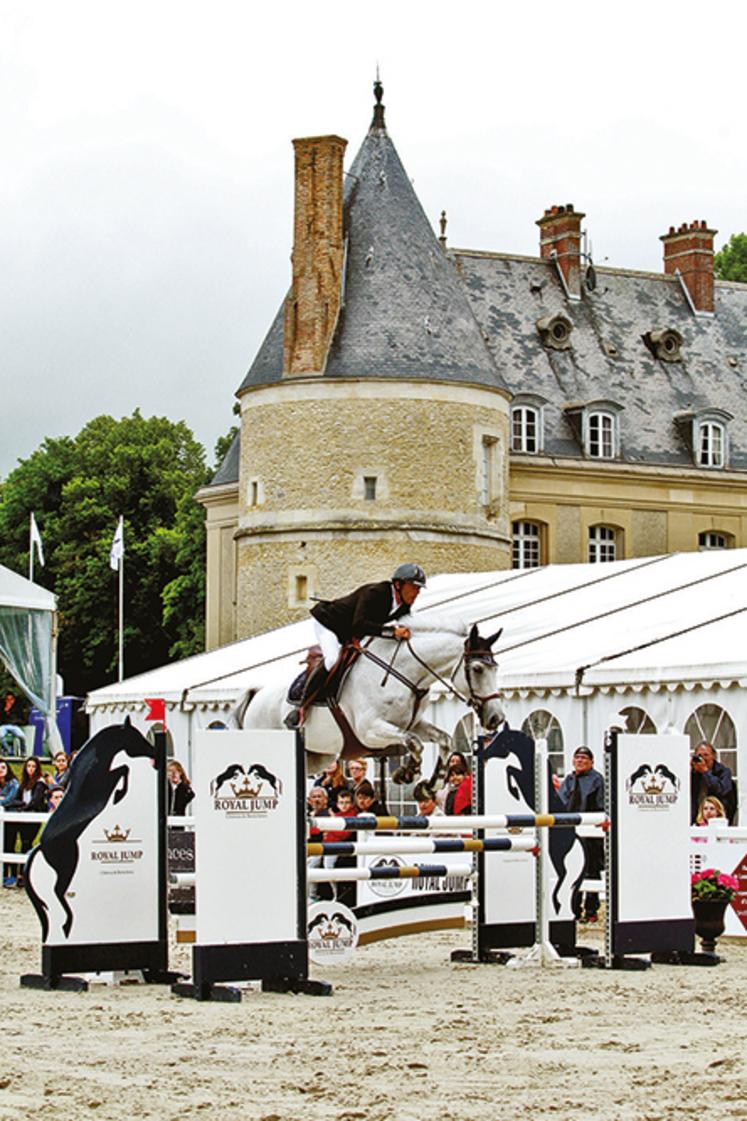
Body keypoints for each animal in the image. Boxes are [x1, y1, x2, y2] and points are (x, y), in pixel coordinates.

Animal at [241, 614, 502, 789]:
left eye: (495, 668)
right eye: (478, 669)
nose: (497, 718)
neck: (404, 673)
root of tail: (256, 695)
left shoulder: (413, 723)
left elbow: (443, 739)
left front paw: (430, 785)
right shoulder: (369, 731)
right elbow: (414, 742)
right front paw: (408, 773)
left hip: (319, 756)